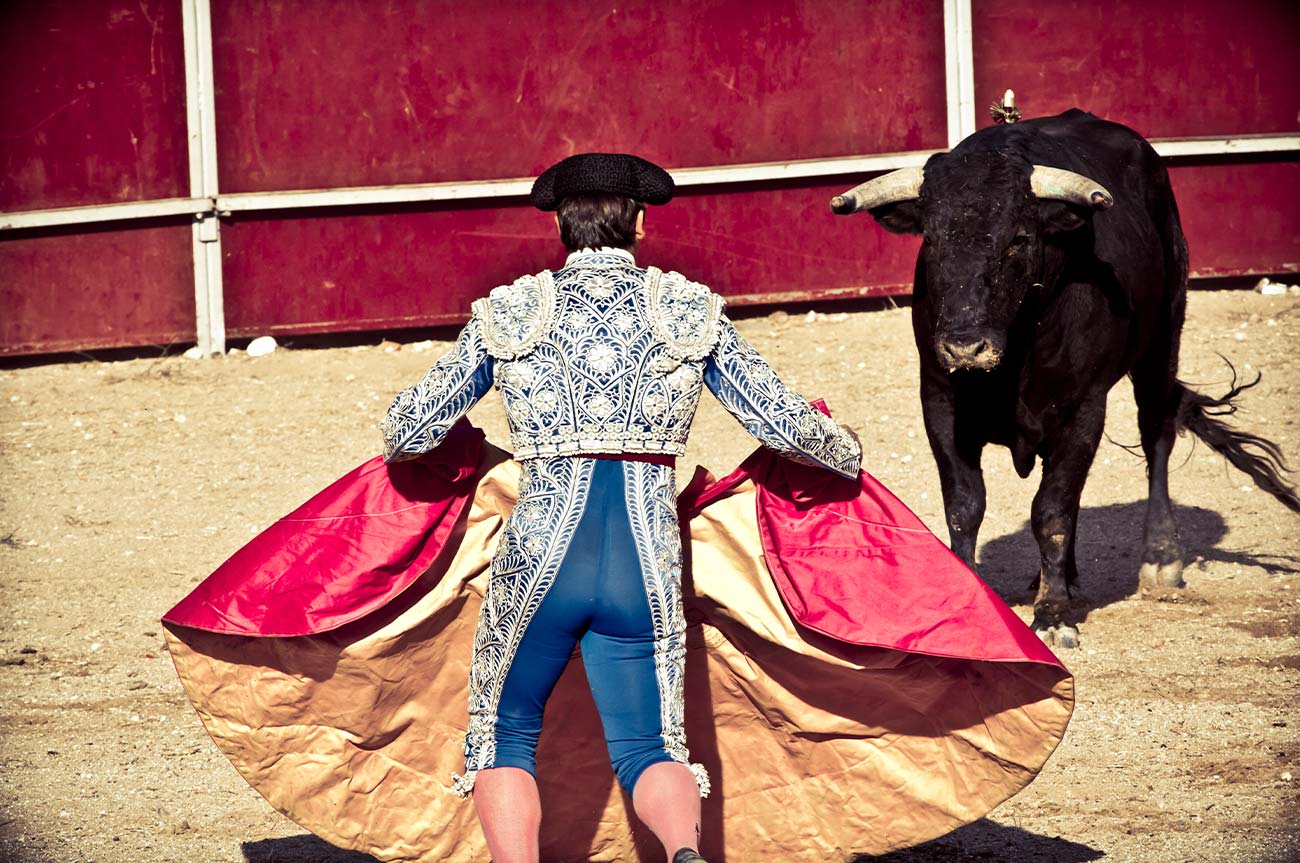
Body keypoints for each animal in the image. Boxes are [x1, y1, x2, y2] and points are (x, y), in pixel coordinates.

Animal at [826, 109, 1294, 647]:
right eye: (933, 239)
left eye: (1019, 239)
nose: (965, 346)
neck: (1013, 359)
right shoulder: (940, 403)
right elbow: (965, 506)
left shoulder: (1084, 409)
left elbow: (1051, 511)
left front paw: (1053, 614)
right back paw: (1063, 575)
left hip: (1163, 339)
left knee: (1155, 438)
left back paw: (1160, 559)